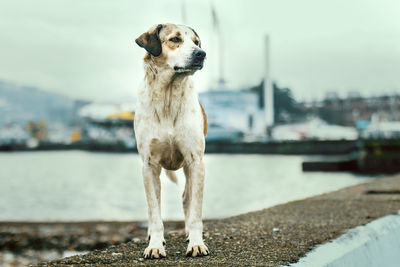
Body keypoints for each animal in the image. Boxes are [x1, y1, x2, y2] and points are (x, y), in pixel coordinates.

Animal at [134, 23, 209, 260]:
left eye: (196, 42)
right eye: (175, 39)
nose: (201, 54)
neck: (168, 96)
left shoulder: (196, 161)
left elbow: (195, 210)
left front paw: (196, 243)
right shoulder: (149, 165)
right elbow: (155, 212)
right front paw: (155, 245)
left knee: (186, 198)